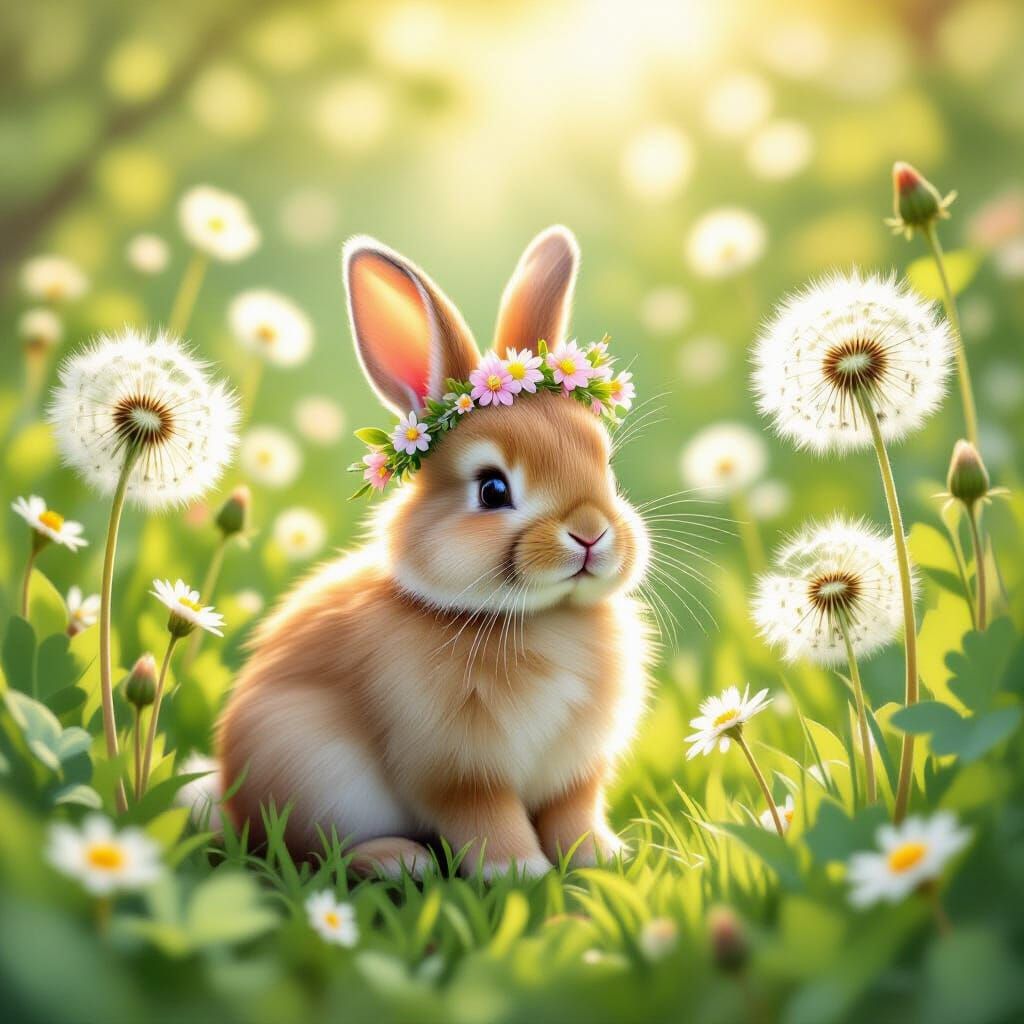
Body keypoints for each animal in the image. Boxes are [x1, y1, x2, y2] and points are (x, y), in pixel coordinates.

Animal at [217, 225, 652, 879]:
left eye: (608, 468)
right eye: (492, 489)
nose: (590, 532)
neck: (542, 619)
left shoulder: (575, 772)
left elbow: (573, 814)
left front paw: (603, 860)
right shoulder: (457, 773)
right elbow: (489, 823)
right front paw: (522, 876)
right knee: (307, 851)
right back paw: (400, 861)